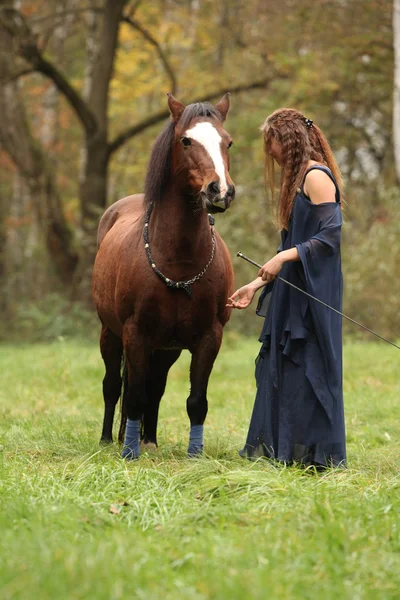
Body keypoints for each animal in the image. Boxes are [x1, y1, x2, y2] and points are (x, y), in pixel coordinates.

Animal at [92, 94, 236, 460]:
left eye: (227, 142)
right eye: (186, 141)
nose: (220, 191)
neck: (178, 261)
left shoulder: (209, 338)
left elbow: (196, 401)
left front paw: (195, 455)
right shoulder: (135, 334)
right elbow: (132, 396)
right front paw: (128, 453)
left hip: (166, 348)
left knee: (154, 387)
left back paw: (149, 440)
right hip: (110, 334)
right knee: (113, 385)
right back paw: (108, 440)